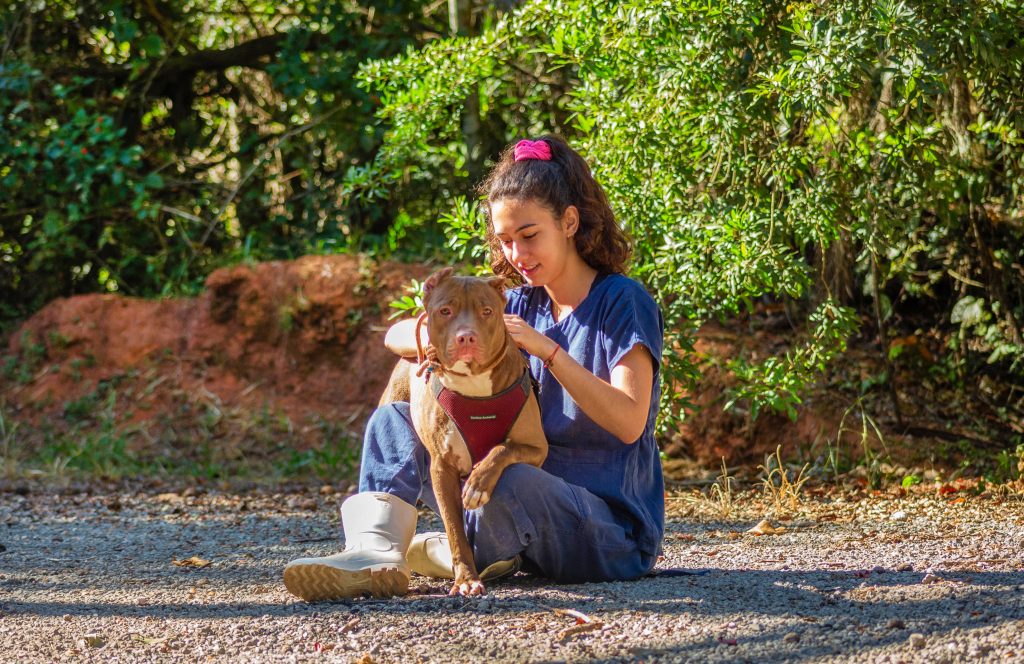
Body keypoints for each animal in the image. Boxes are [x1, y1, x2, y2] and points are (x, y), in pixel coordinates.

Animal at [380, 268, 548, 598]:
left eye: (487, 311)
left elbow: (501, 449)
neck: (474, 383)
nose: (466, 336)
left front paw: (478, 483)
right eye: (445, 310)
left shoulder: (537, 447)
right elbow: (455, 529)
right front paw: (466, 579)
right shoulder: (442, 468)